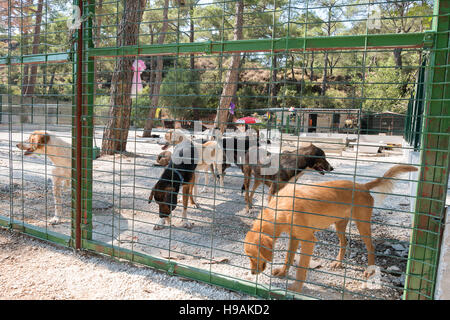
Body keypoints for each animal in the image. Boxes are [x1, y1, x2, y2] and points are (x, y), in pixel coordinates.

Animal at [244, 165, 416, 292]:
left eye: (253, 256)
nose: (252, 273)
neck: (280, 209)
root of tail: (362, 186)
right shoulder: (294, 237)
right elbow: (288, 256)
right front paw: (283, 272)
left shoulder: (308, 240)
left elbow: (301, 268)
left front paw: (297, 287)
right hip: (339, 224)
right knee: (344, 242)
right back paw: (338, 263)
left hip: (362, 224)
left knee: (371, 247)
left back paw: (369, 270)